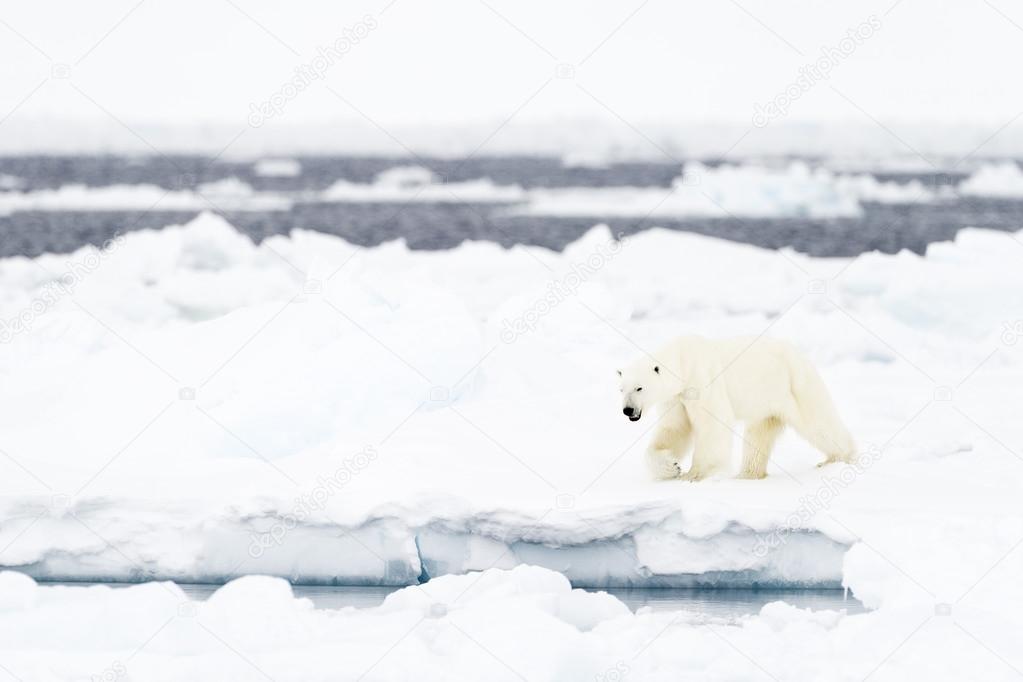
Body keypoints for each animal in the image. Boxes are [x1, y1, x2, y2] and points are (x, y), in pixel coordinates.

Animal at [613, 335, 855, 480]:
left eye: (639, 388)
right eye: (621, 389)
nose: (628, 410)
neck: (683, 362)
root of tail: (801, 355)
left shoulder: (702, 380)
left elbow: (711, 424)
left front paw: (695, 474)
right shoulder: (676, 398)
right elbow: (674, 430)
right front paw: (672, 467)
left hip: (795, 384)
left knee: (818, 422)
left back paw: (840, 458)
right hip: (765, 402)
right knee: (758, 435)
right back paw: (748, 474)